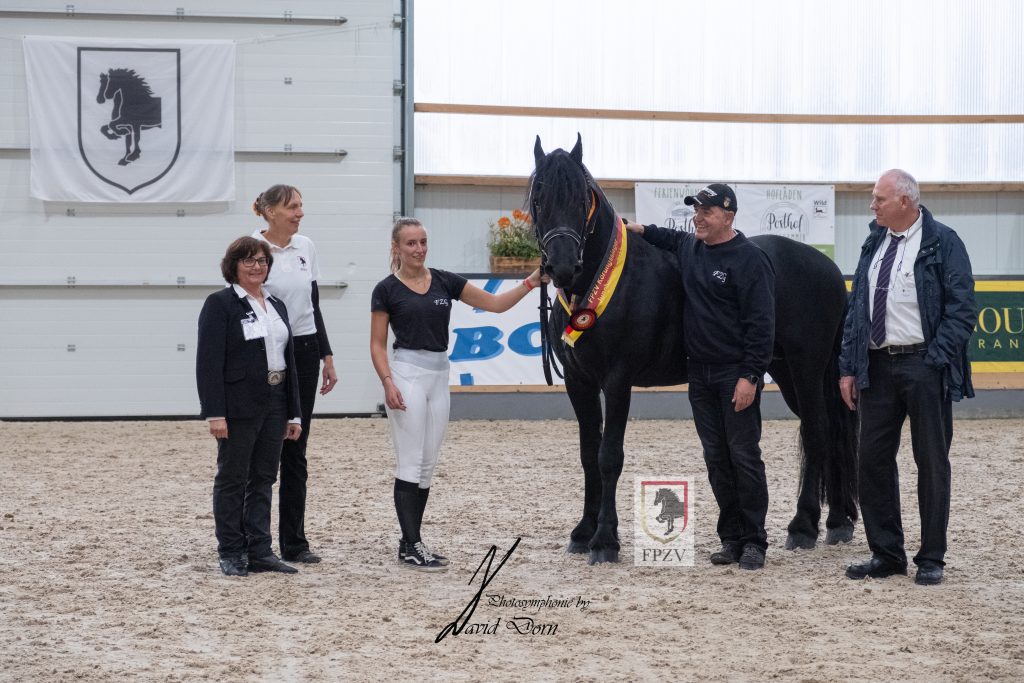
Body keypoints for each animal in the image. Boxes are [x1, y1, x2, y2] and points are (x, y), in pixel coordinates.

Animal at [528, 135, 856, 565]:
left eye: (583, 199)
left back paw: (802, 528)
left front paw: (604, 541)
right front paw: (582, 533)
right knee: (830, 430)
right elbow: (588, 455)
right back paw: (837, 524)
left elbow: (609, 456)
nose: (563, 266)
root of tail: (829, 270)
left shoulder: (617, 380)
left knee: (818, 430)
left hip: (807, 367)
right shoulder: (578, 381)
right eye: (538, 197)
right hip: (787, 371)